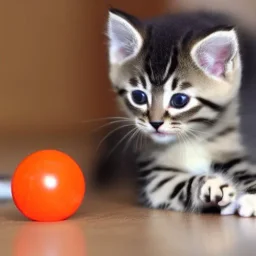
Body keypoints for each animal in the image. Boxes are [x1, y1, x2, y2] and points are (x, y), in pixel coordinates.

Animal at [104, 8, 256, 216]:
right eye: (138, 97)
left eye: (179, 100)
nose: (155, 123)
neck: (191, 140)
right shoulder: (157, 179)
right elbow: (183, 184)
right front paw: (211, 185)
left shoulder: (230, 147)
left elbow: (244, 168)